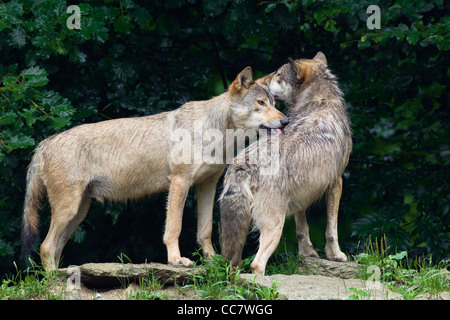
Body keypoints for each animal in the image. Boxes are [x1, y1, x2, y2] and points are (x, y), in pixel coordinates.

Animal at [22, 67, 288, 270]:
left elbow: (205, 230)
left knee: (55, 249)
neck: (216, 133)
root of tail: (43, 144)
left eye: (274, 103)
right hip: (68, 210)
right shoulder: (179, 182)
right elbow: (174, 227)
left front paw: (213, 261)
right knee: (46, 247)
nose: (285, 121)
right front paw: (176, 260)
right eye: (260, 103)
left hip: (78, 212)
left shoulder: (208, 185)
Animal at [220, 53, 354, 276]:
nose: (259, 80)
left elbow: (302, 229)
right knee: (256, 264)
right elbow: (332, 229)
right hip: (275, 225)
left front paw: (308, 254)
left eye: (277, 74)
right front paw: (336, 255)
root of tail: (245, 165)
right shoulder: (337, 181)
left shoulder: (301, 195)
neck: (319, 102)